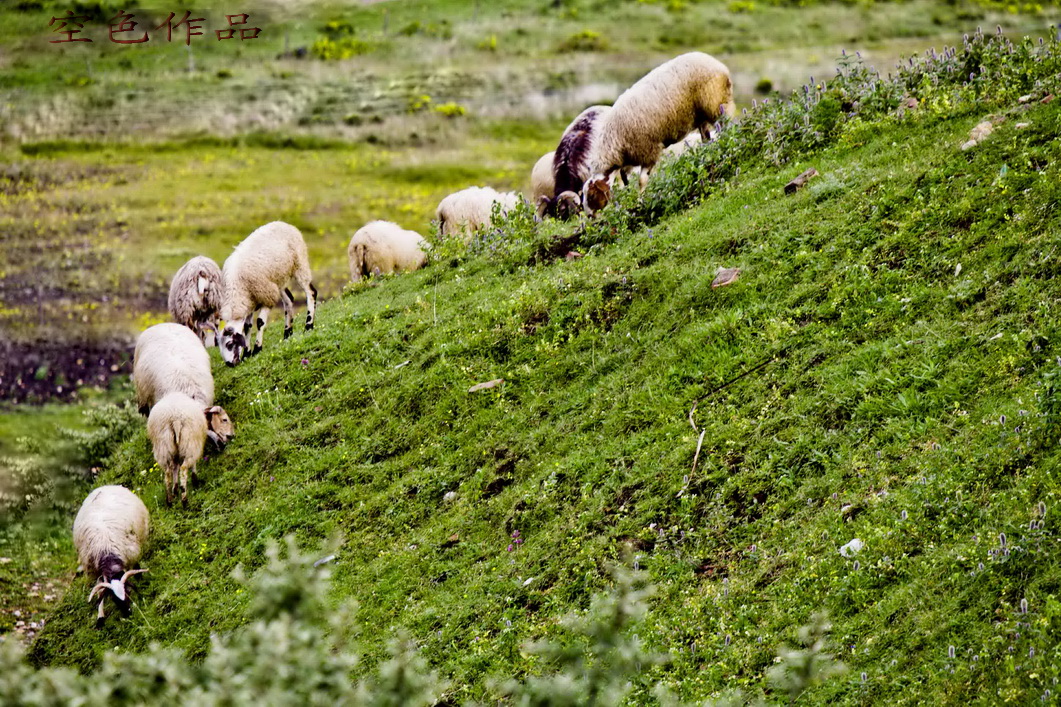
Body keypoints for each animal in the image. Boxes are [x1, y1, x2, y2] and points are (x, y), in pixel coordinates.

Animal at [72, 481, 150, 624]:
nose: (128, 612)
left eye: (128, 591)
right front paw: (100, 617)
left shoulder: (130, 554)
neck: (108, 555)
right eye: (113, 599)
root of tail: (105, 486)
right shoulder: (95, 571)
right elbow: (100, 590)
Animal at [216, 218, 311, 363]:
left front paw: (257, 349)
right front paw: (246, 353)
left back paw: (309, 325)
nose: (230, 364)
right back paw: (287, 333)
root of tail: (284, 223)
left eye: (229, 344)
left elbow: (260, 322)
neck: (237, 291)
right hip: (277, 281)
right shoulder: (250, 302)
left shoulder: (267, 297)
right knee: (289, 300)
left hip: (299, 263)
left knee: (311, 292)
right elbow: (247, 327)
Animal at [581, 52, 738, 209]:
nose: (590, 215)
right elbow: (625, 179)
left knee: (728, 127)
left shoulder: (649, 150)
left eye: (592, 195)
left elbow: (642, 180)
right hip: (702, 116)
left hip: (716, 105)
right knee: (706, 138)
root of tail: (716, 62)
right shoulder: (631, 157)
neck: (614, 142)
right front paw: (629, 195)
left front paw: (641, 201)